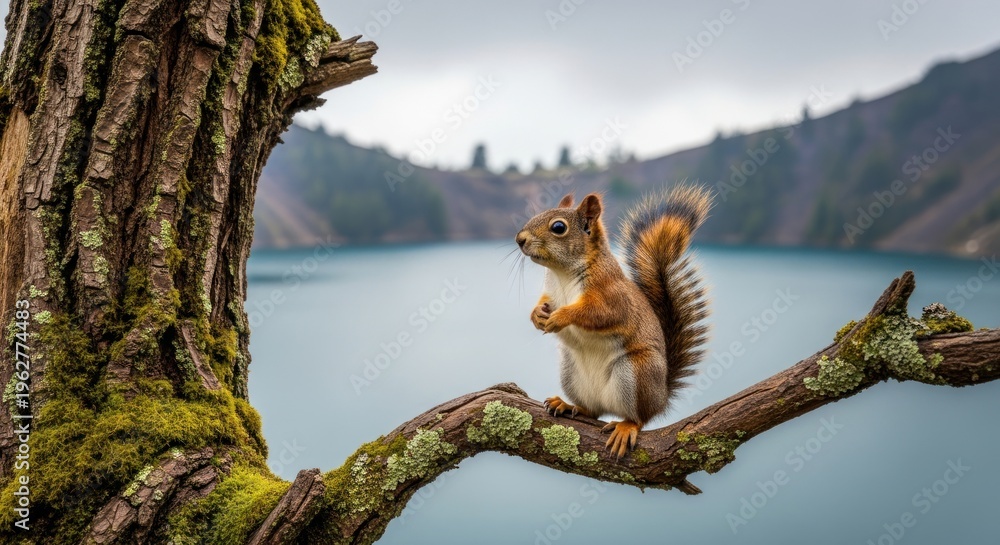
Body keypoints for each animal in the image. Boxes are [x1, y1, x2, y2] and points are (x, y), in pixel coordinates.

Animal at [515, 184, 712, 458]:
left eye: (558, 227)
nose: (519, 239)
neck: (562, 273)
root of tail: (661, 396)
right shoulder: (550, 293)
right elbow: (542, 303)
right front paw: (537, 315)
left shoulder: (612, 297)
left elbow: (598, 314)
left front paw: (561, 316)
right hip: (571, 373)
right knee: (593, 410)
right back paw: (568, 405)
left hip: (637, 373)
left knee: (640, 418)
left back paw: (626, 426)